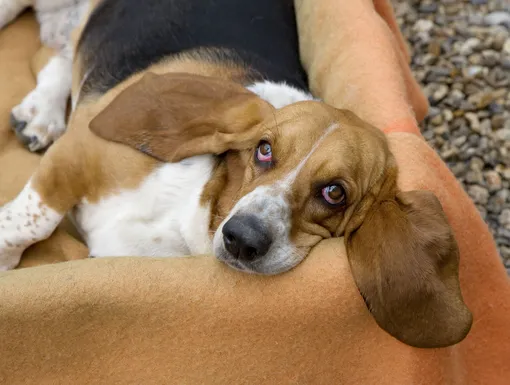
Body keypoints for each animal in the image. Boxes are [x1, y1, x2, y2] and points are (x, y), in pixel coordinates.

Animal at [0, 0, 470, 348]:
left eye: (335, 192)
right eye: (264, 149)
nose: (243, 239)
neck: (191, 201)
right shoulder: (73, 155)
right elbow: (30, 223)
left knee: (61, 57)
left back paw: (41, 113)